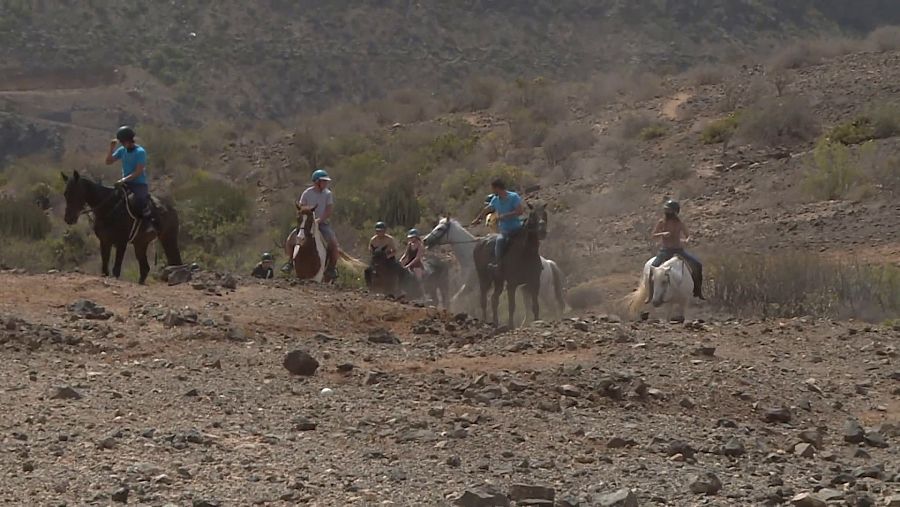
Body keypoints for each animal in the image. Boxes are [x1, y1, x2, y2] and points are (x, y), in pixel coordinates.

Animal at [424, 217, 568, 318]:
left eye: (440, 228)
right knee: (530, 310)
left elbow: (460, 300)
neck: (470, 254)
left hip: (542, 289)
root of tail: (548, 263)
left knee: (552, 306)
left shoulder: (472, 286)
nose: (425, 240)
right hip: (525, 289)